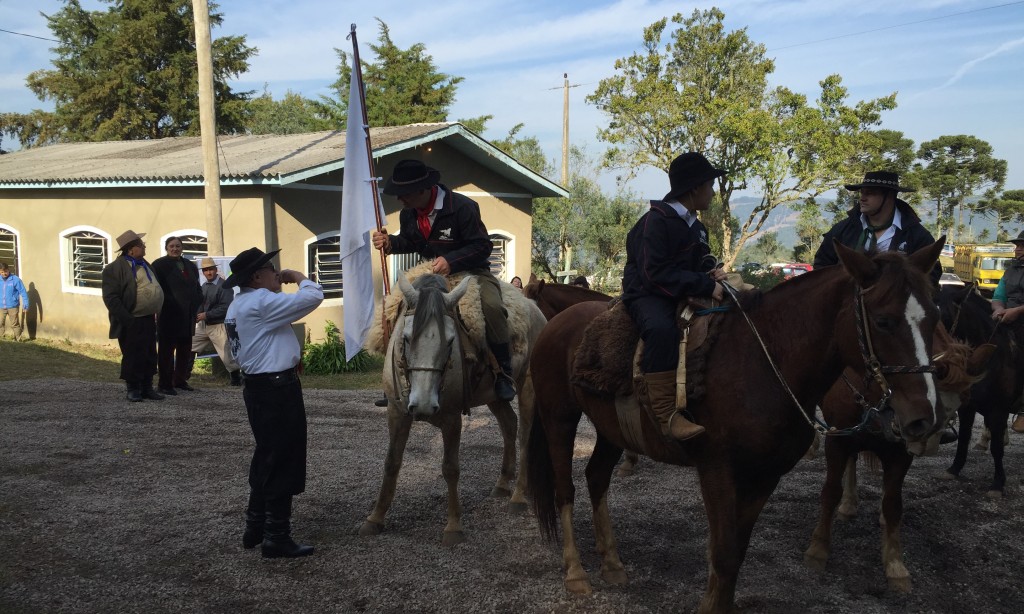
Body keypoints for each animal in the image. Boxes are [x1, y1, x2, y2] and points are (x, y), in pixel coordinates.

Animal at [532, 241, 946, 614]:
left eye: (933, 318)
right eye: (883, 321)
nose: (923, 418)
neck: (764, 363)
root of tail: (557, 324)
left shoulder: (765, 475)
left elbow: (736, 552)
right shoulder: (717, 470)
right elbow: (725, 553)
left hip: (611, 430)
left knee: (597, 478)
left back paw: (612, 563)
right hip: (559, 419)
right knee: (565, 490)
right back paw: (576, 572)